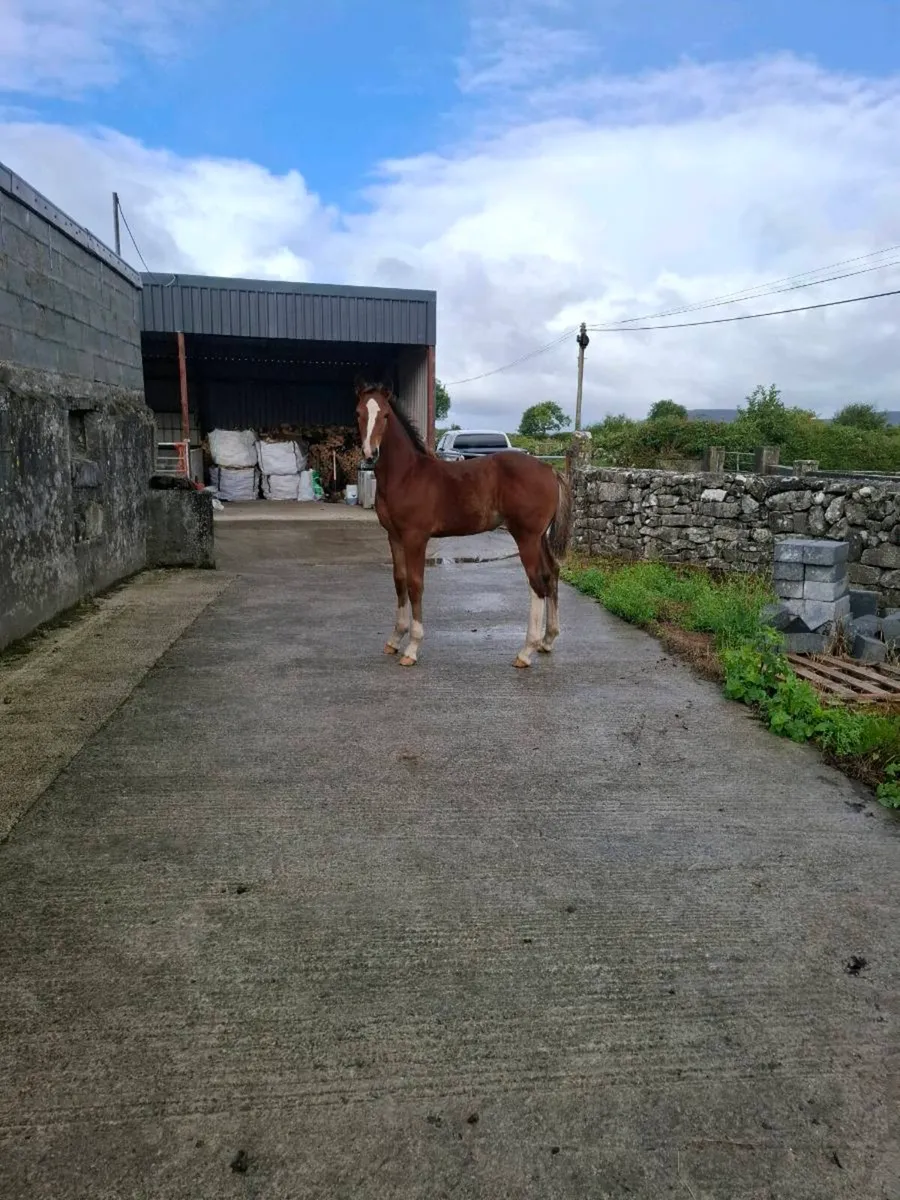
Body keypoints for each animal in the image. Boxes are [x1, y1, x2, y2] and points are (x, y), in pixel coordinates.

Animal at [355, 380, 572, 669]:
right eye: (359, 413)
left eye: (386, 415)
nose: (370, 454)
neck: (406, 475)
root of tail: (550, 469)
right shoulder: (394, 536)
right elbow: (399, 581)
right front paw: (395, 639)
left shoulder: (415, 537)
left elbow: (415, 584)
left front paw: (412, 648)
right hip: (540, 537)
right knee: (552, 574)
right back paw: (548, 640)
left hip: (526, 536)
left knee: (537, 583)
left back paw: (526, 652)